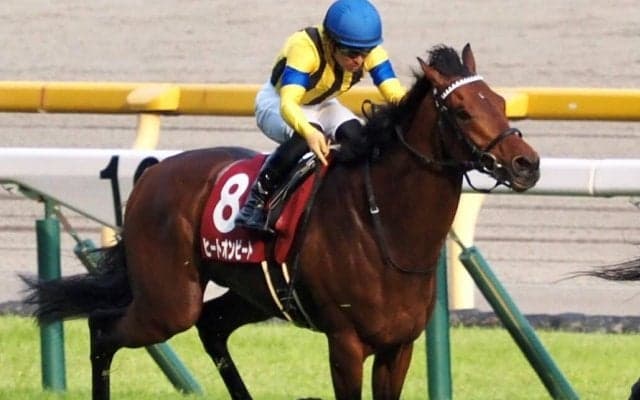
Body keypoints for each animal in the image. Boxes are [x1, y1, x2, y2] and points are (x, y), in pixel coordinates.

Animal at [22, 43, 540, 400]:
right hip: (167, 301)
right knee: (103, 327)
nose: (526, 164)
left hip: (254, 290)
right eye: (462, 110)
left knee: (211, 325)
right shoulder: (346, 343)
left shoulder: (399, 346)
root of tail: (153, 173)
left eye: (500, 102)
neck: (386, 227)